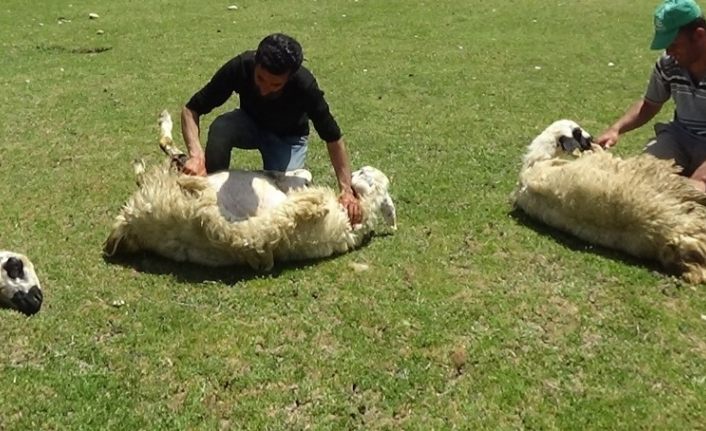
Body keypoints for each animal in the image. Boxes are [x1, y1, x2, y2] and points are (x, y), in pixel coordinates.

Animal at [103, 110, 396, 270]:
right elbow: (302, 175)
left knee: (168, 152)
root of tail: (134, 222)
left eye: (365, 174)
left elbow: (300, 177)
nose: (355, 172)